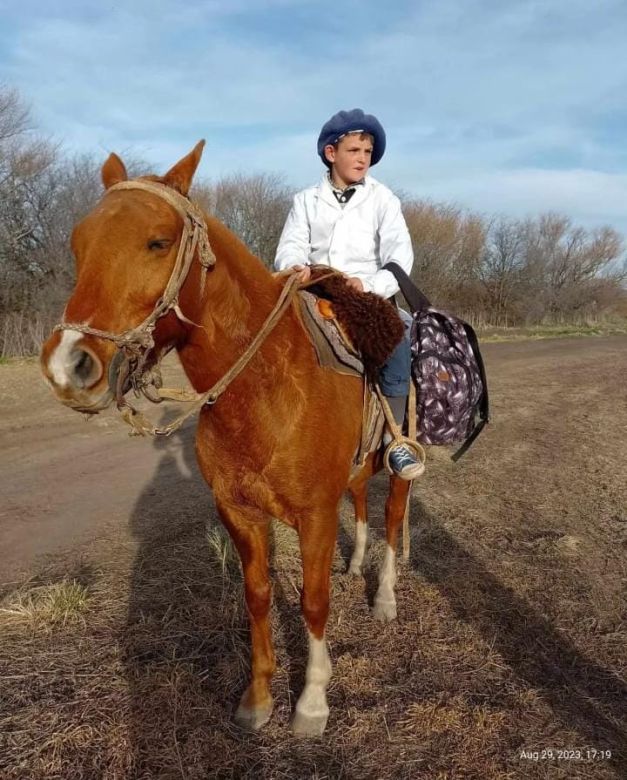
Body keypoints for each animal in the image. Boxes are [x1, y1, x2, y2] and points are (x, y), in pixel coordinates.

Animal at [39, 142, 412, 736]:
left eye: (158, 241)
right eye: (80, 243)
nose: (67, 365)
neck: (267, 387)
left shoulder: (314, 515)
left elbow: (313, 601)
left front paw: (311, 702)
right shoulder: (238, 511)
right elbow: (257, 597)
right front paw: (257, 698)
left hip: (402, 466)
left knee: (394, 520)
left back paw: (384, 599)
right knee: (360, 502)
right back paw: (356, 566)